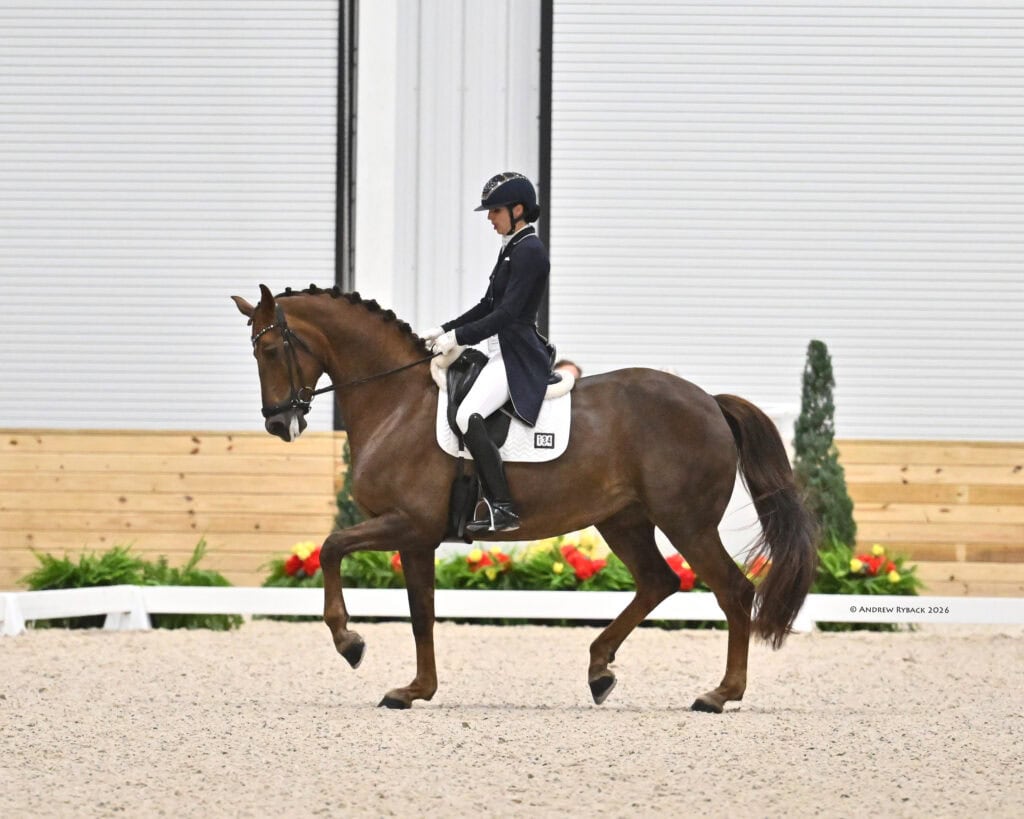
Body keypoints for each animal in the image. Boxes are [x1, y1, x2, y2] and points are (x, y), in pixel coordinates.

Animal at [232, 284, 818, 712]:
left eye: (270, 349)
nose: (279, 423)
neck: (397, 402)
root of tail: (710, 402)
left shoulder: (407, 523)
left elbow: (331, 548)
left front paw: (349, 643)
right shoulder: (417, 538)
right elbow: (422, 613)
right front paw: (415, 690)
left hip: (686, 522)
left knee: (734, 591)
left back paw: (719, 694)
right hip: (624, 520)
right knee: (659, 581)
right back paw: (599, 669)